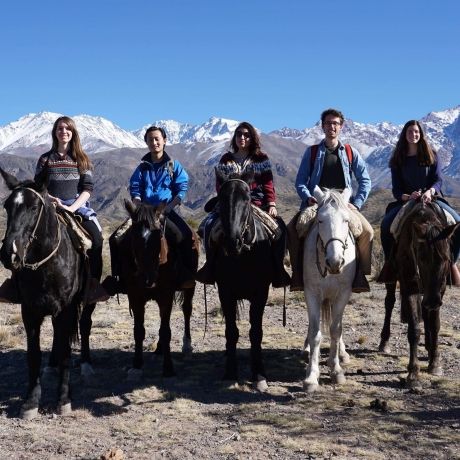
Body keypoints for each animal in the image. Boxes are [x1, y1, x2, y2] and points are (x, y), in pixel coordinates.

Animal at [0, 168, 88, 416]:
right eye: (7, 206)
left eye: (33, 207)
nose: (10, 254)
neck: (47, 263)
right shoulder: (29, 311)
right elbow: (33, 355)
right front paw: (31, 401)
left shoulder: (66, 310)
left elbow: (67, 352)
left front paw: (63, 399)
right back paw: (52, 365)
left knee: (84, 327)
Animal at [120, 199, 198, 380]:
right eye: (134, 238)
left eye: (159, 238)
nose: (148, 278)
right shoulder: (135, 297)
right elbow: (139, 331)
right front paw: (137, 365)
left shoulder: (166, 296)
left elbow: (166, 331)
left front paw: (168, 368)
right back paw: (159, 349)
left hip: (189, 288)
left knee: (186, 310)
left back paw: (187, 347)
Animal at [212, 171, 274, 390]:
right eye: (221, 199)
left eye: (247, 199)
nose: (233, 242)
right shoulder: (225, 292)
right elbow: (231, 331)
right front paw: (230, 373)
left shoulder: (261, 292)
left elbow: (256, 332)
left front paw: (259, 374)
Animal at [302, 186, 356, 392]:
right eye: (320, 220)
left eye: (346, 220)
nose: (335, 262)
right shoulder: (311, 293)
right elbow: (315, 333)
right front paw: (311, 376)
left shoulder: (343, 294)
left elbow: (335, 330)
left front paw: (336, 370)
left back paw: (342, 353)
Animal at [380, 203, 458, 386]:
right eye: (422, 258)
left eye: (445, 259)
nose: (433, 301)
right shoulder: (410, 286)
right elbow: (414, 328)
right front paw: (413, 373)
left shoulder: (440, 290)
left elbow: (435, 324)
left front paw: (435, 363)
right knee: (389, 303)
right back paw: (384, 342)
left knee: (426, 313)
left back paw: (429, 347)